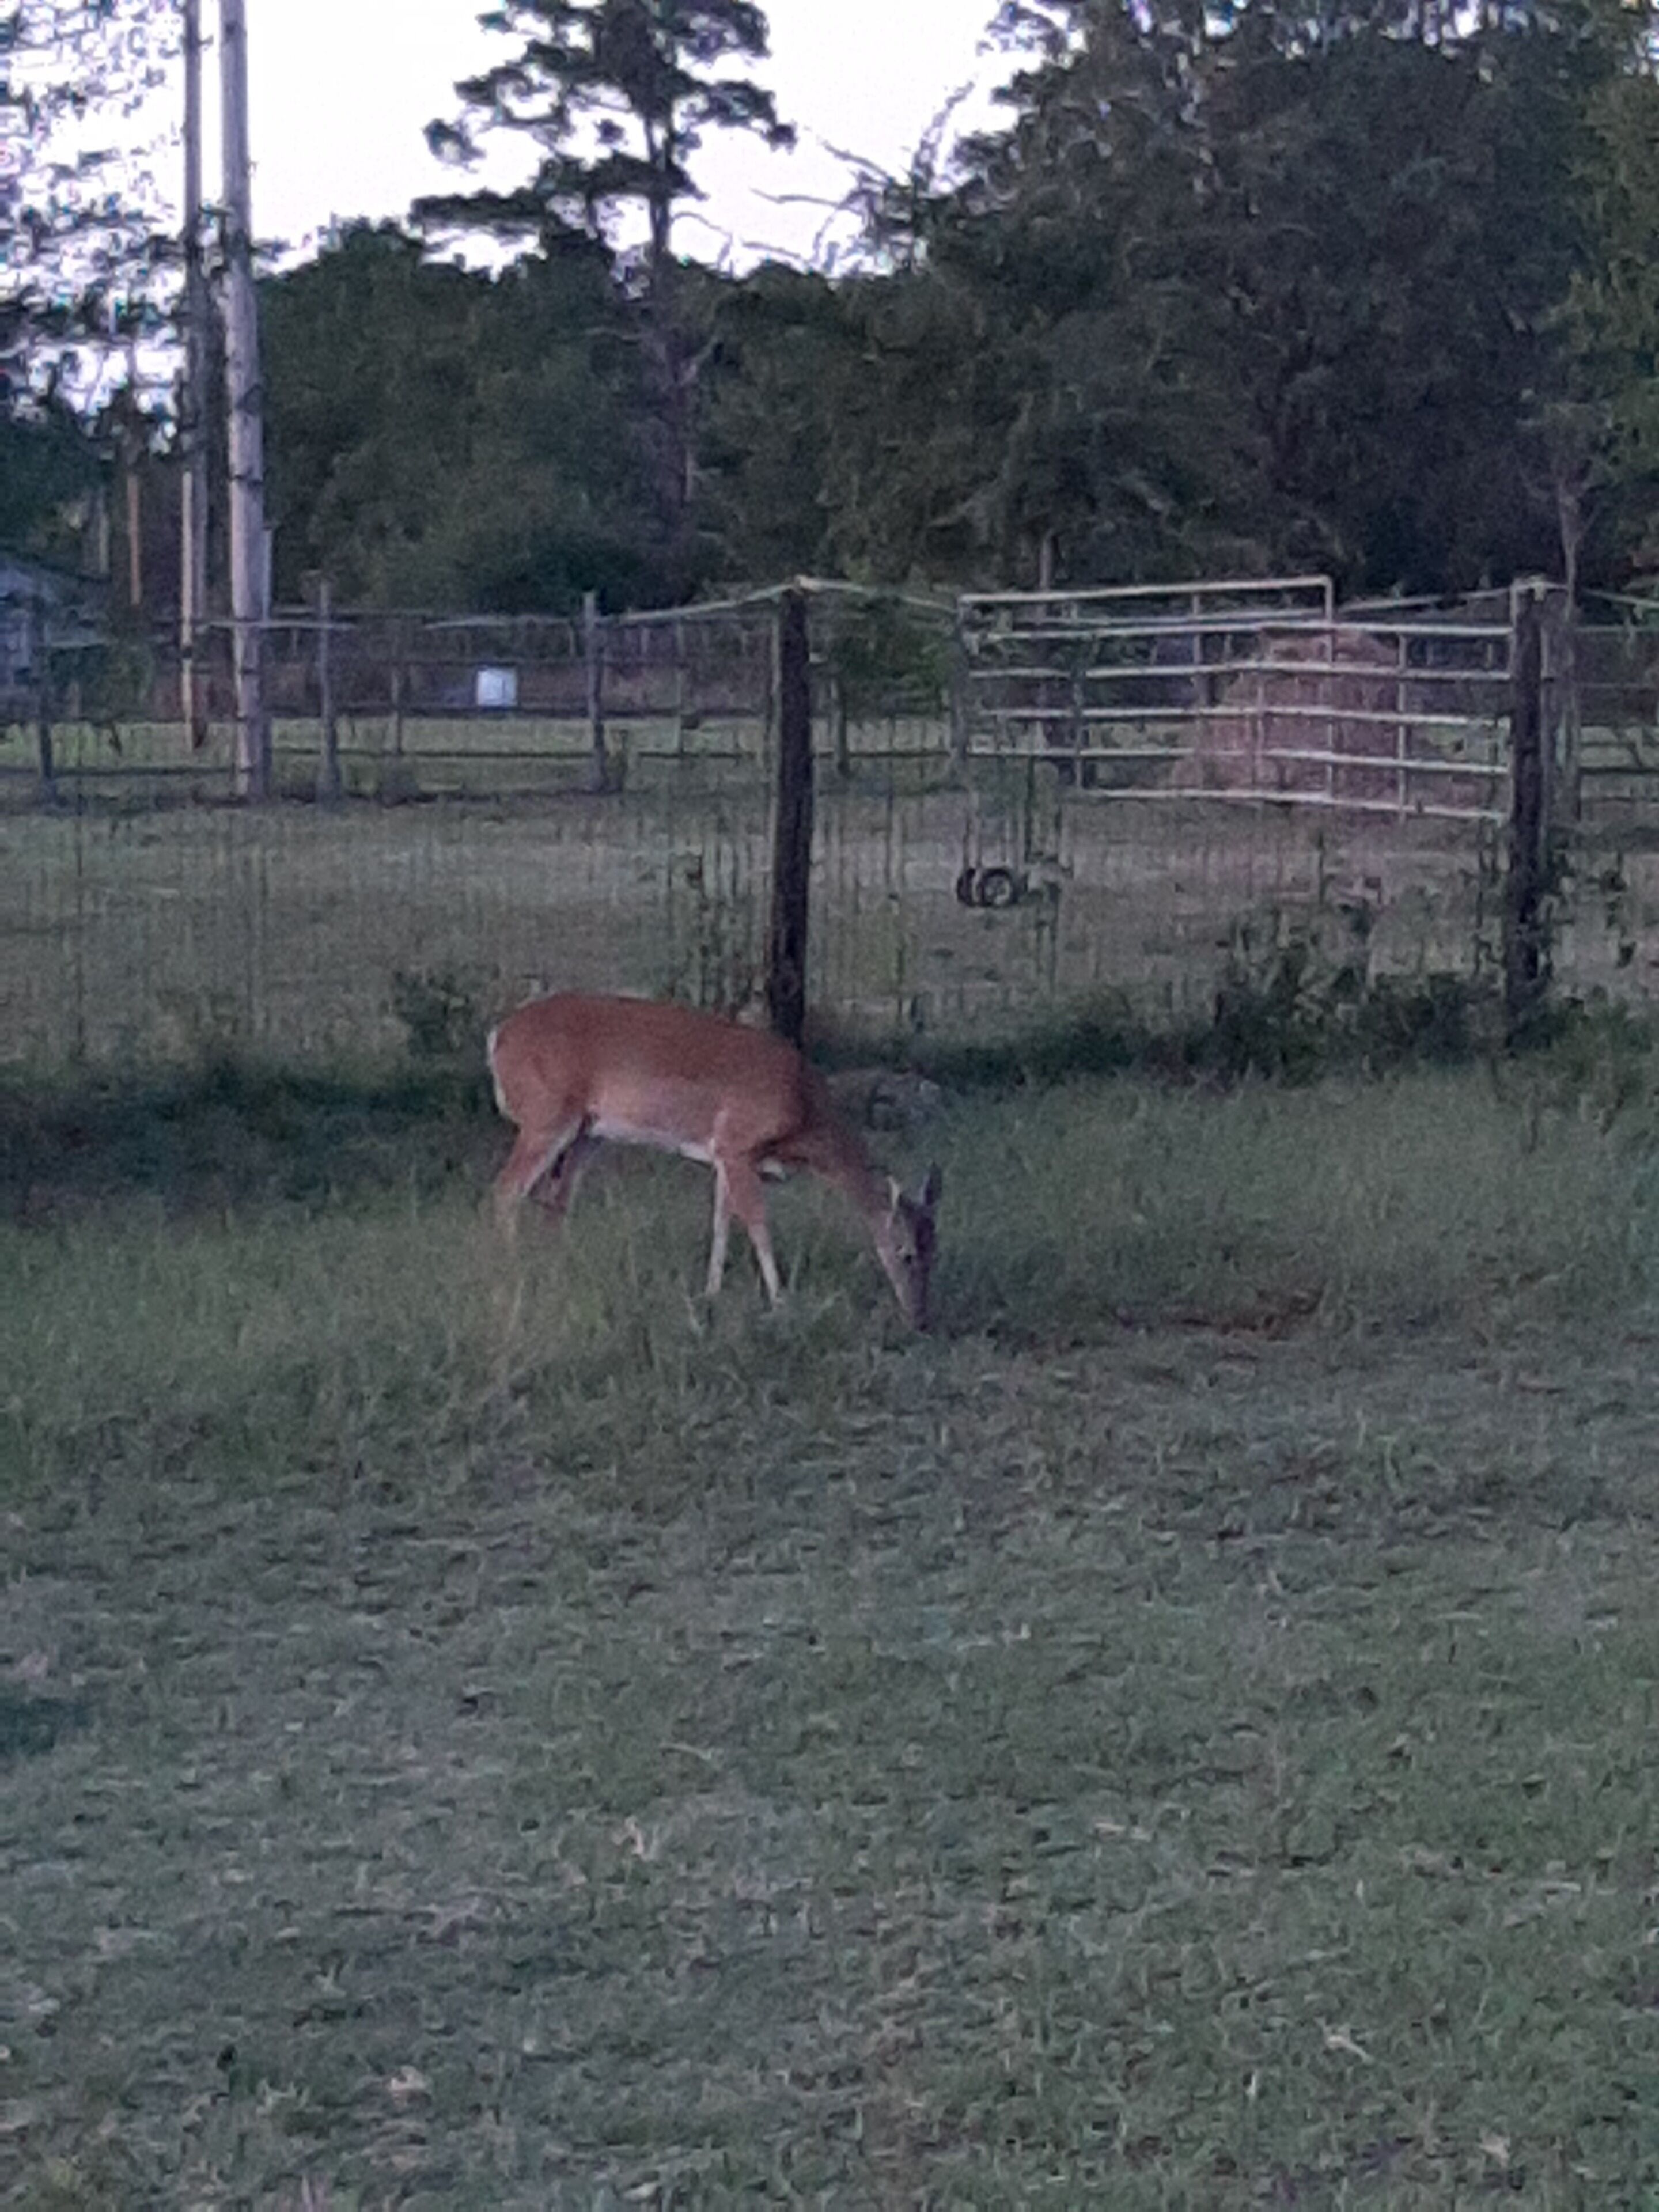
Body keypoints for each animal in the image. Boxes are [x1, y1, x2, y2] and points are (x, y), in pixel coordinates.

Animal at [487, 993, 942, 1329]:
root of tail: (498, 1037)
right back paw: (511, 1274)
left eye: (935, 1251)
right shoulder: (738, 1144)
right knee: (506, 1190)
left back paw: (555, 1272)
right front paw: (782, 1303)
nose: (921, 1320)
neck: (804, 1117)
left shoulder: (725, 1155)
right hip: (546, 1116)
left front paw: (710, 1294)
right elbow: (758, 1225)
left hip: (586, 1134)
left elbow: (722, 1221)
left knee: (554, 1203)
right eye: (905, 1252)